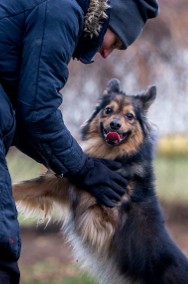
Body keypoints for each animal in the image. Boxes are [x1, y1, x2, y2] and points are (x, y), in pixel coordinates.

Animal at [12, 79, 188, 284]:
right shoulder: (62, 184)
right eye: (108, 110)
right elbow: (26, 187)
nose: (115, 124)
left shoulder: (104, 213)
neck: (111, 155)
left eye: (129, 116)